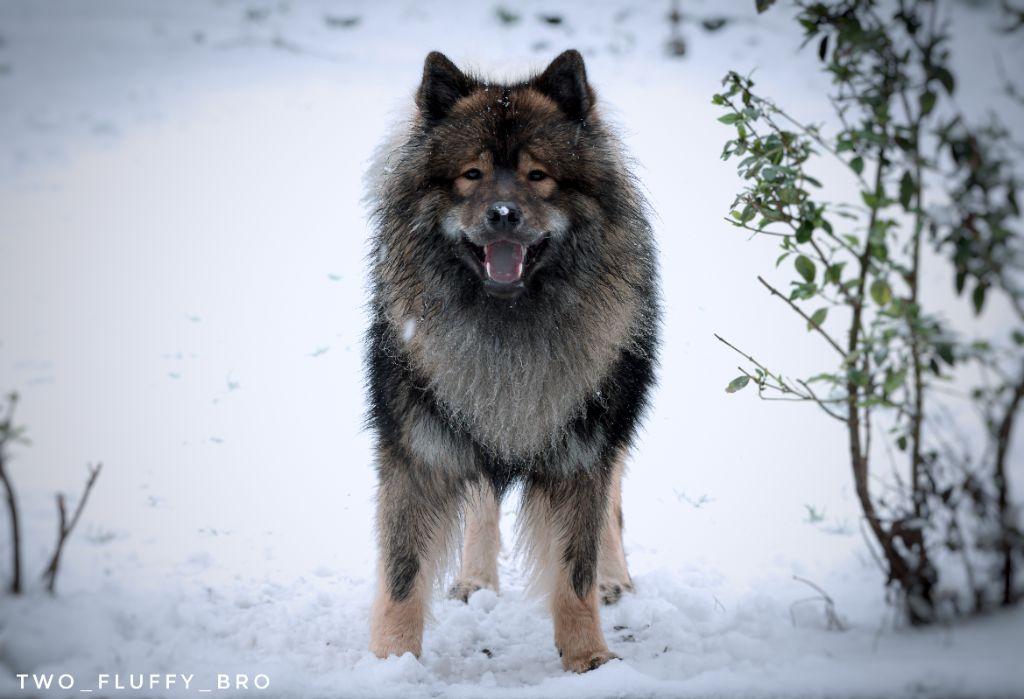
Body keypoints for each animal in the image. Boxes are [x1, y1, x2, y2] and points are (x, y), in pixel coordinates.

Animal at [364, 49, 659, 671]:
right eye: (471, 175)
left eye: (537, 175)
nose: (502, 213)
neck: (508, 325)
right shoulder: (419, 448)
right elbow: (402, 573)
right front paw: (390, 663)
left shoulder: (583, 451)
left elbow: (575, 568)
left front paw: (588, 659)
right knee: (481, 503)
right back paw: (475, 579)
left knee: (612, 506)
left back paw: (614, 579)